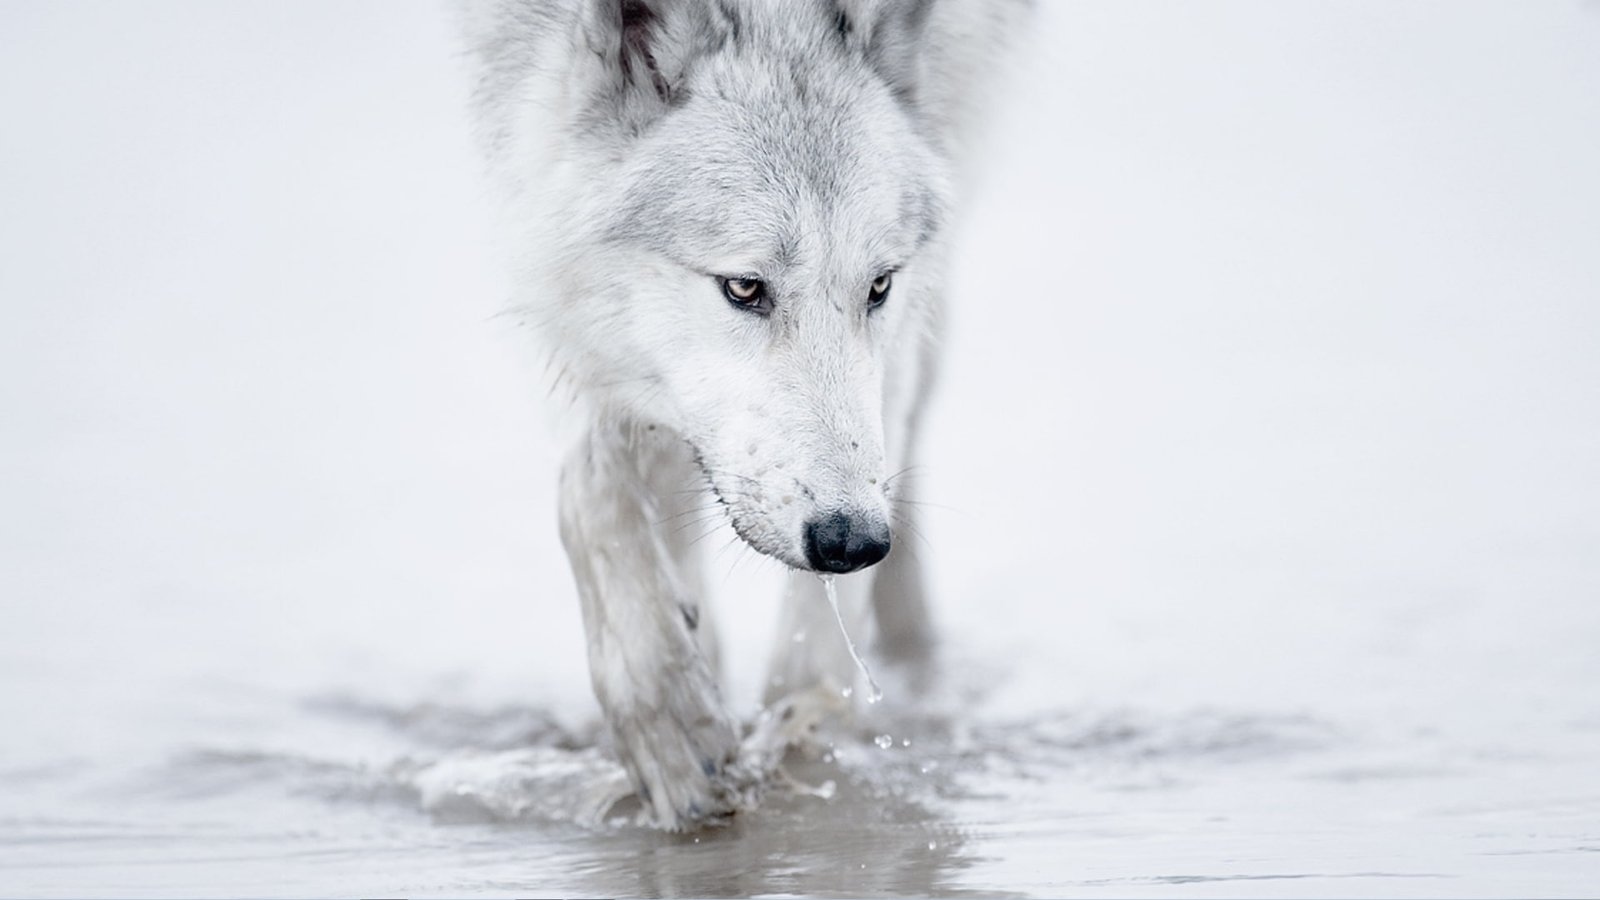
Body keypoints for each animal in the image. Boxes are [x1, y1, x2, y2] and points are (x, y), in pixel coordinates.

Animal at [457, 0, 1027, 829]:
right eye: (745, 287)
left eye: (879, 286)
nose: (853, 540)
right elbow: (592, 488)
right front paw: (672, 720)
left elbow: (814, 645)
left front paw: (799, 741)